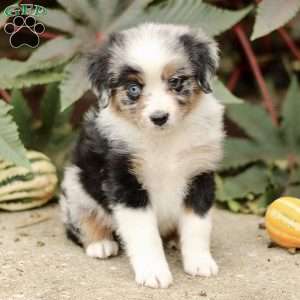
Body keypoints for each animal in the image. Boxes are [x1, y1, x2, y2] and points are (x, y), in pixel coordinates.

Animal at [60, 22, 223, 288]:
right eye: (134, 89)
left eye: (176, 82)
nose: (159, 117)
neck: (163, 139)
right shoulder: (125, 182)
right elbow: (145, 234)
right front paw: (153, 273)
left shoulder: (200, 172)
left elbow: (197, 225)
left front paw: (200, 262)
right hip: (75, 186)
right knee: (78, 220)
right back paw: (100, 243)